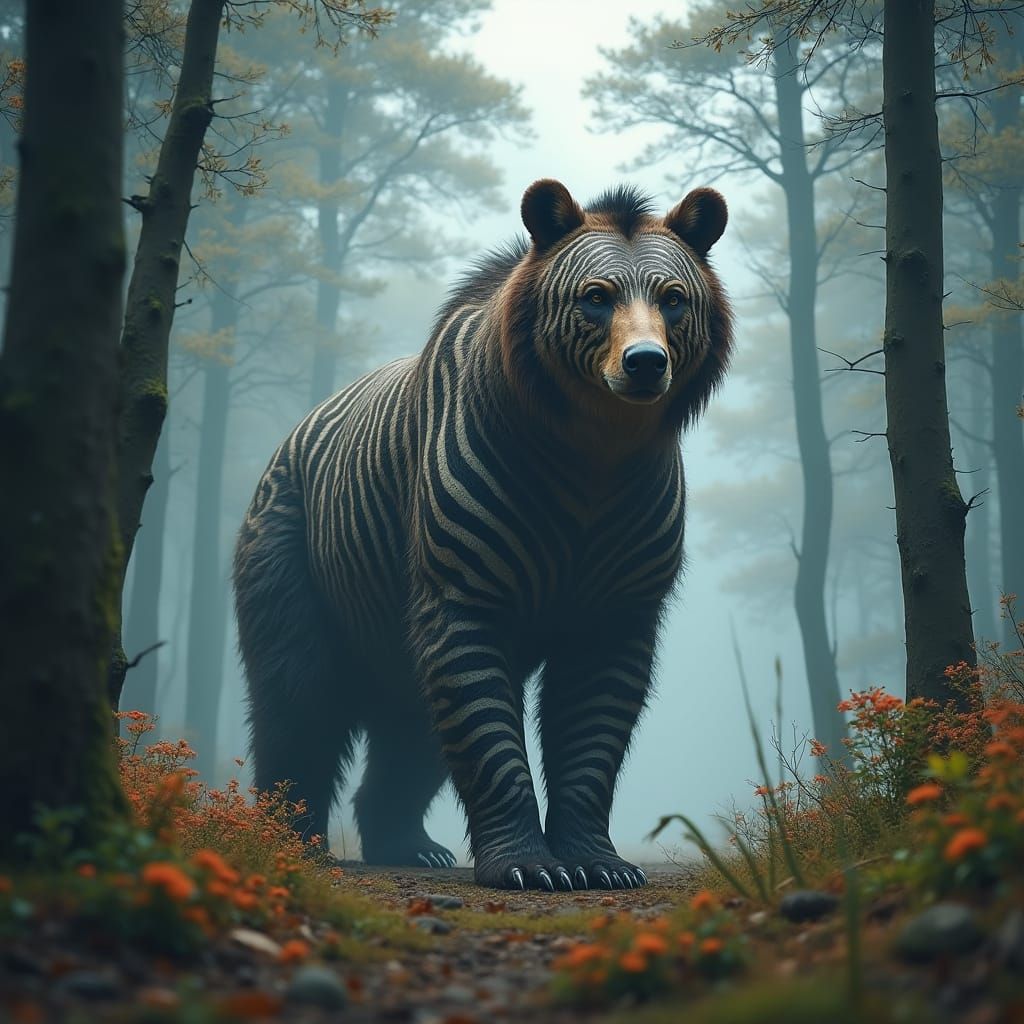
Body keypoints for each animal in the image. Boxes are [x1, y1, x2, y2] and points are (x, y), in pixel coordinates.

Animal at [234, 179, 733, 890]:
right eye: (596, 295)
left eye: (673, 297)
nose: (644, 363)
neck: (592, 454)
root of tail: (297, 430)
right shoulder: (473, 555)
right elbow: (479, 714)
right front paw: (529, 865)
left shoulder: (619, 571)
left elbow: (594, 720)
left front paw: (598, 861)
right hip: (294, 549)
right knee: (298, 698)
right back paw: (294, 836)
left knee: (408, 729)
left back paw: (409, 843)